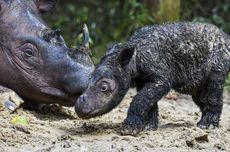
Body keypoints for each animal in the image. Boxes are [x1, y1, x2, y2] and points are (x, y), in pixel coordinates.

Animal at [75, 22, 230, 135]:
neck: (132, 60)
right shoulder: (143, 79)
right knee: (199, 94)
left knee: (213, 84)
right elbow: (148, 100)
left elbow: (140, 99)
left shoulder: (161, 78)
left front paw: (129, 129)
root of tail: (226, 36)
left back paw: (207, 126)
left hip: (219, 55)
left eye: (104, 87)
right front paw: (149, 128)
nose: (79, 108)